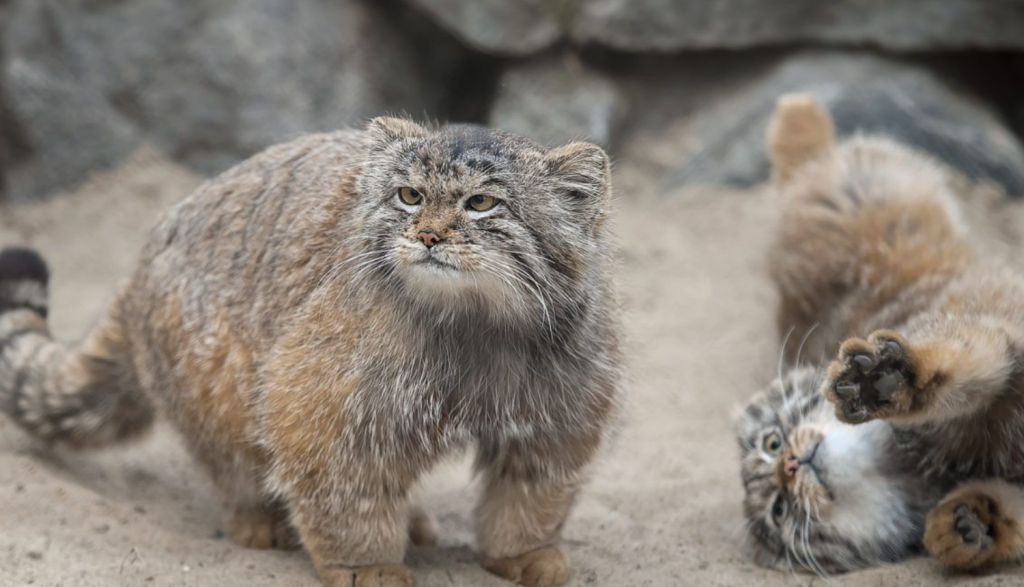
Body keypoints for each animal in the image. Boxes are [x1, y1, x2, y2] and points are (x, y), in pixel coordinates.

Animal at [0, 118, 622, 585]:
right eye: (410, 195)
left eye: (482, 203)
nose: (427, 236)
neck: (476, 324)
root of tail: (138, 265)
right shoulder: (327, 408)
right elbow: (344, 491)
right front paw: (365, 564)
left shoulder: (559, 414)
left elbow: (531, 492)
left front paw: (521, 551)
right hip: (220, 379)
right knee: (234, 462)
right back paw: (260, 518)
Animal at [737, 94, 1024, 573]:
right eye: (779, 510)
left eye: (771, 443)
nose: (790, 466)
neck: (910, 462)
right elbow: (1009, 509)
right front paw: (968, 525)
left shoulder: (992, 334)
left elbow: (963, 359)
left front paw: (891, 378)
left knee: (805, 158)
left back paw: (800, 115)